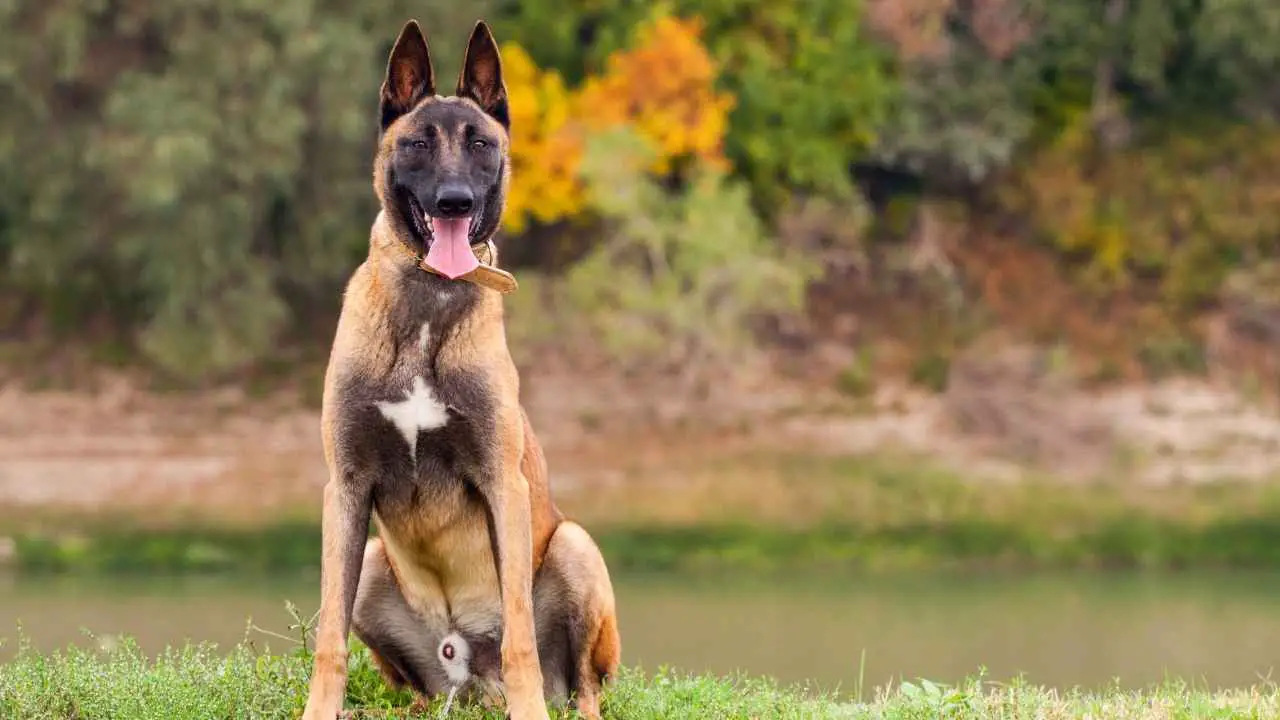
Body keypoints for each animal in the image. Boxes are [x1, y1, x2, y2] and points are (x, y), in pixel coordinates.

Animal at [299, 18, 619, 717]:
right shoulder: (346, 489)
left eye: (480, 144)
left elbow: (523, 636)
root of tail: (468, 672)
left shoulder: (503, 485)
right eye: (418, 142)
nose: (454, 200)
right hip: (371, 563)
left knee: (583, 686)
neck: (427, 310)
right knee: (408, 682)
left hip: (576, 547)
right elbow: (328, 639)